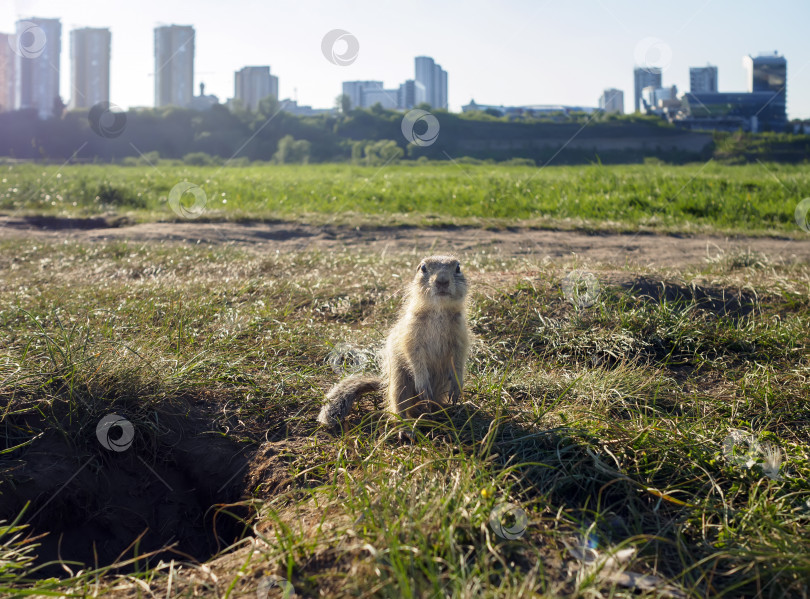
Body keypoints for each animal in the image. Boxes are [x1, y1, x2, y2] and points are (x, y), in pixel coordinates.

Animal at [316, 255, 468, 428]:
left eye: (458, 268)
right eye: (423, 268)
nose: (442, 280)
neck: (439, 311)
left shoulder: (460, 336)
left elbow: (459, 358)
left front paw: (458, 384)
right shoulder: (410, 334)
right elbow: (413, 355)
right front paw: (423, 383)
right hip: (400, 382)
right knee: (399, 408)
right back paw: (405, 427)